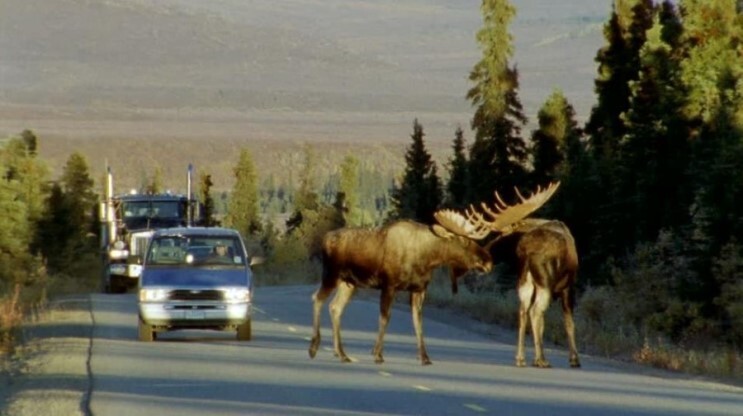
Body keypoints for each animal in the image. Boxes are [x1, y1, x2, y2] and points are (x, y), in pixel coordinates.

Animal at [309, 183, 558, 365]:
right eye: (463, 240)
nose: (488, 261)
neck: (426, 258)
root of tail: (324, 239)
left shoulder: (419, 289)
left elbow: (418, 322)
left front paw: (425, 357)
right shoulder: (389, 284)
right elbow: (385, 318)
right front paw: (378, 353)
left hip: (349, 283)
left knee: (335, 308)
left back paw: (342, 353)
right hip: (331, 274)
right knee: (317, 299)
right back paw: (313, 347)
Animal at [464, 182, 581, 368]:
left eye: (502, 235)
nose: (483, 255)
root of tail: (527, 251)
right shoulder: (568, 286)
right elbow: (569, 321)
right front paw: (574, 359)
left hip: (524, 280)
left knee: (522, 311)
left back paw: (521, 357)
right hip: (545, 281)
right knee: (535, 311)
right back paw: (541, 359)